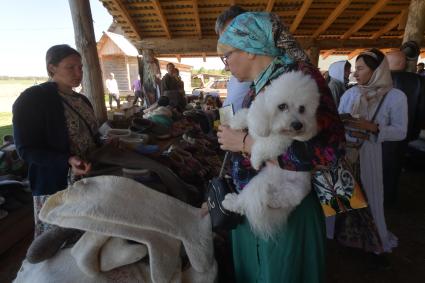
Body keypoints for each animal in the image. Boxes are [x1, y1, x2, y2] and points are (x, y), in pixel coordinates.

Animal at [224, 71, 320, 240]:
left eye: (302, 109)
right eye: (282, 106)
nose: (298, 125)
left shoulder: (280, 142)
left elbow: (263, 145)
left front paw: (255, 160)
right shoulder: (257, 119)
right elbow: (247, 115)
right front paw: (236, 123)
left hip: (270, 187)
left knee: (252, 201)